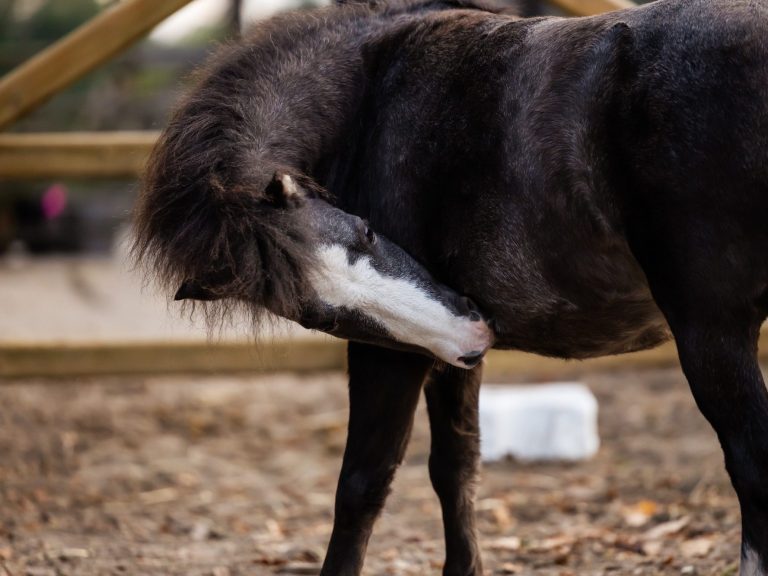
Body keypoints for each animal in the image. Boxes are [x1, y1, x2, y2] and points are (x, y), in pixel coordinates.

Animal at [132, 0, 768, 573]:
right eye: (318, 315)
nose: (472, 328)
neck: (367, 95)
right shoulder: (445, 358)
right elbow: (455, 469)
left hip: (710, 335)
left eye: (367, 231)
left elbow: (362, 485)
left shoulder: (392, 357)